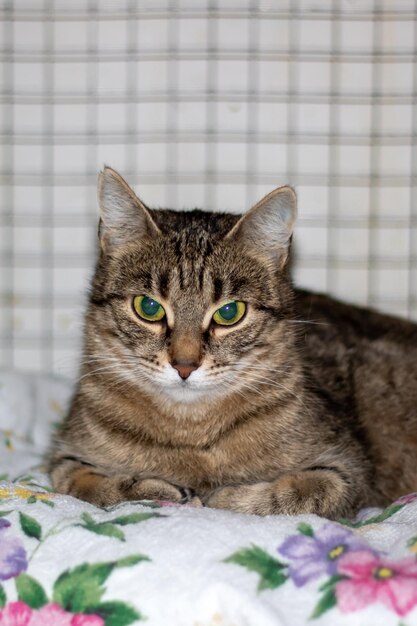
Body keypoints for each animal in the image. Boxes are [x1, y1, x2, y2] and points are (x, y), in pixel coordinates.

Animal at [47, 166, 416, 516]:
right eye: (148, 307)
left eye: (229, 312)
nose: (184, 365)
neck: (190, 432)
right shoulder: (64, 455)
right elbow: (87, 485)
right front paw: (158, 489)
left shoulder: (349, 467)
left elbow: (301, 493)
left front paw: (222, 495)